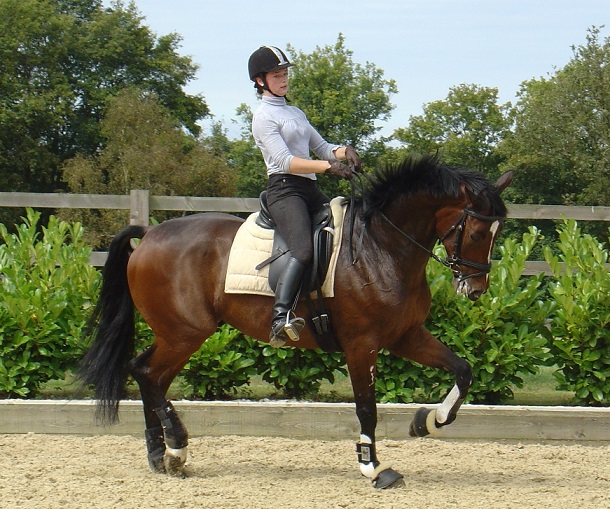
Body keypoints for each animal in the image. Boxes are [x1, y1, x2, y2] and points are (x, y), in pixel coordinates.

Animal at [78, 154, 510, 488]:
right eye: (476, 232)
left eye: (497, 230)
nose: (475, 289)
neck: (382, 248)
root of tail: (149, 234)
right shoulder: (361, 345)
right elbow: (366, 408)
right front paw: (373, 467)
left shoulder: (406, 336)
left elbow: (464, 370)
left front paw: (428, 421)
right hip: (185, 332)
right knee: (148, 375)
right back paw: (177, 448)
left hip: (179, 335)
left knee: (147, 375)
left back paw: (161, 454)